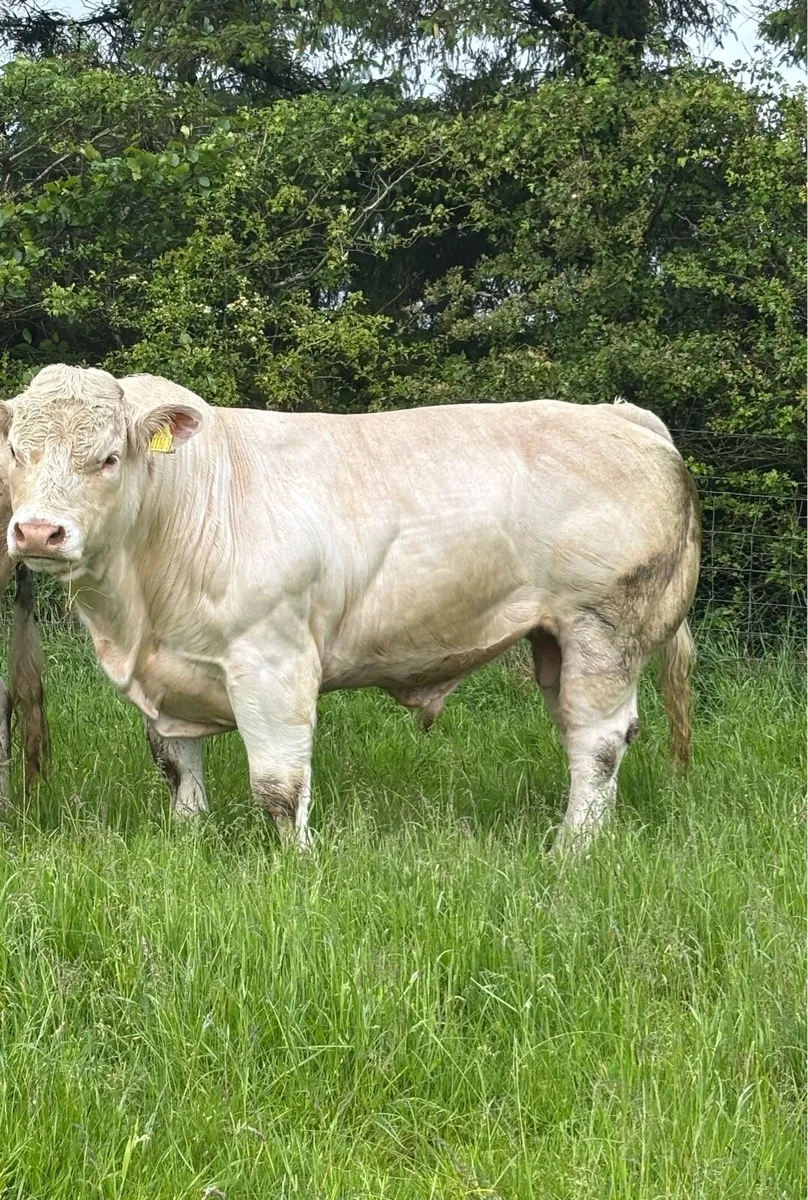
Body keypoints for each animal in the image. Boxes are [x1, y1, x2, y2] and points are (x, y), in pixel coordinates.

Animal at [1, 365, 700, 851]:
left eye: (109, 458)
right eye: (15, 453)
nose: (37, 533)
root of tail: (622, 415)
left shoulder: (273, 659)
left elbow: (279, 785)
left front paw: (297, 863)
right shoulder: (166, 672)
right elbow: (177, 766)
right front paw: (188, 839)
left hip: (604, 626)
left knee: (598, 741)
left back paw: (571, 849)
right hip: (554, 637)